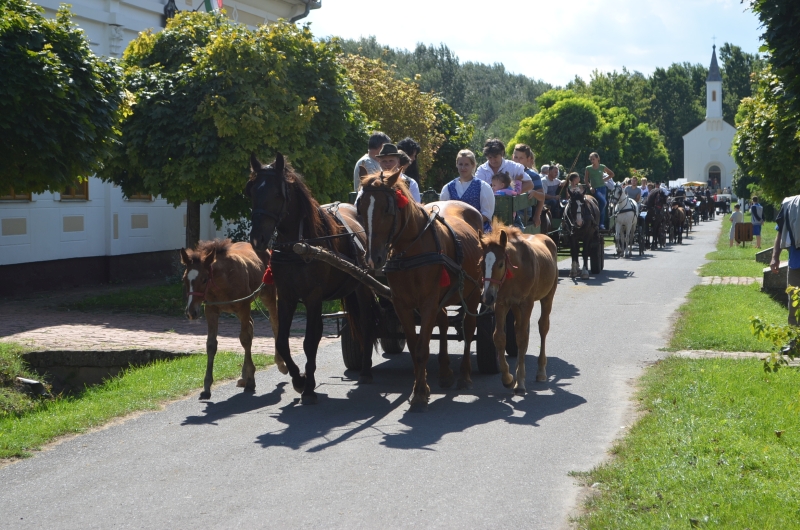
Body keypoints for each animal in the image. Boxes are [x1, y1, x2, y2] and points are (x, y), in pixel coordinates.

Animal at [180, 238, 282, 396]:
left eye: (204, 279)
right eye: (184, 279)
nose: (191, 312)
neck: (224, 281)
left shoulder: (244, 307)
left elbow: (245, 339)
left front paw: (251, 381)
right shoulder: (211, 310)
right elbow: (211, 345)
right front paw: (207, 386)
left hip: (268, 295)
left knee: (274, 322)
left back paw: (280, 363)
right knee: (251, 325)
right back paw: (244, 376)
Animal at [245, 155, 380, 402]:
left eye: (277, 194)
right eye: (251, 191)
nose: (257, 239)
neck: (298, 246)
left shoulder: (313, 298)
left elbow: (309, 340)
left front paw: (308, 388)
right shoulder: (286, 297)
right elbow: (282, 341)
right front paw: (299, 379)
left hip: (364, 286)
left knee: (366, 322)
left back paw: (366, 370)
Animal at [360, 168, 484, 408]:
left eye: (387, 208)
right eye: (360, 207)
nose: (373, 258)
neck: (410, 249)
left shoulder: (427, 303)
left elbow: (421, 348)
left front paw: (419, 393)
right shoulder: (402, 305)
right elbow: (413, 343)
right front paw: (421, 387)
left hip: (473, 294)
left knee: (469, 327)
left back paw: (464, 375)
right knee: (444, 322)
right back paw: (445, 373)